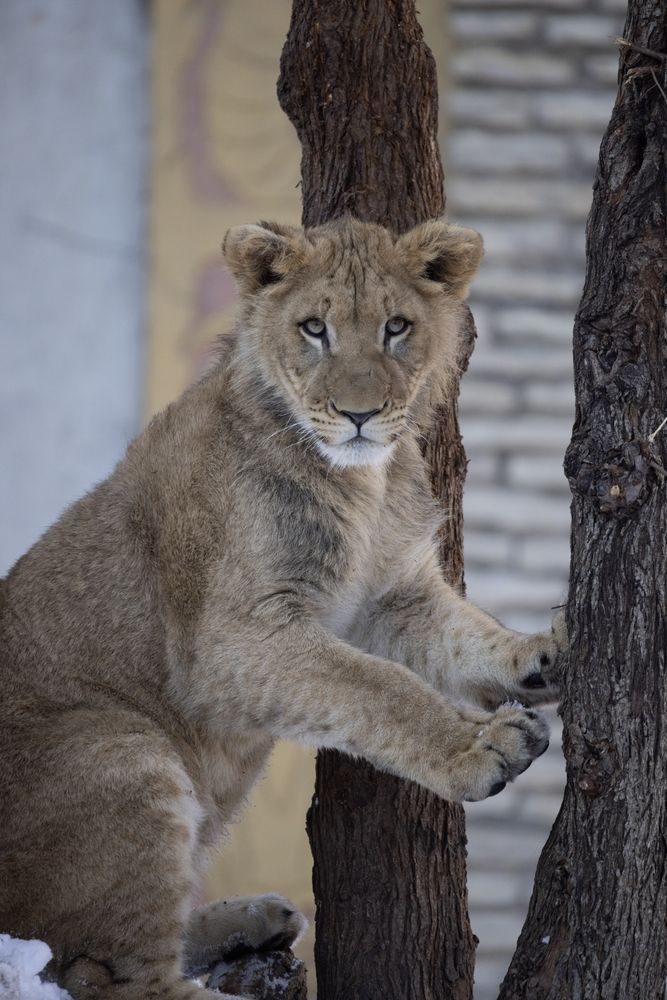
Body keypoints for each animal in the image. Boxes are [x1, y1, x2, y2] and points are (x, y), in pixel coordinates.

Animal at [0, 217, 566, 1000]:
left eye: (396, 327)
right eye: (313, 329)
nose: (359, 415)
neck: (364, 484)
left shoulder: (388, 598)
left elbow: (463, 635)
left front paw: (544, 651)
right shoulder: (230, 640)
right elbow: (379, 688)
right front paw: (483, 748)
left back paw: (256, 921)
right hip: (120, 751)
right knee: (109, 975)